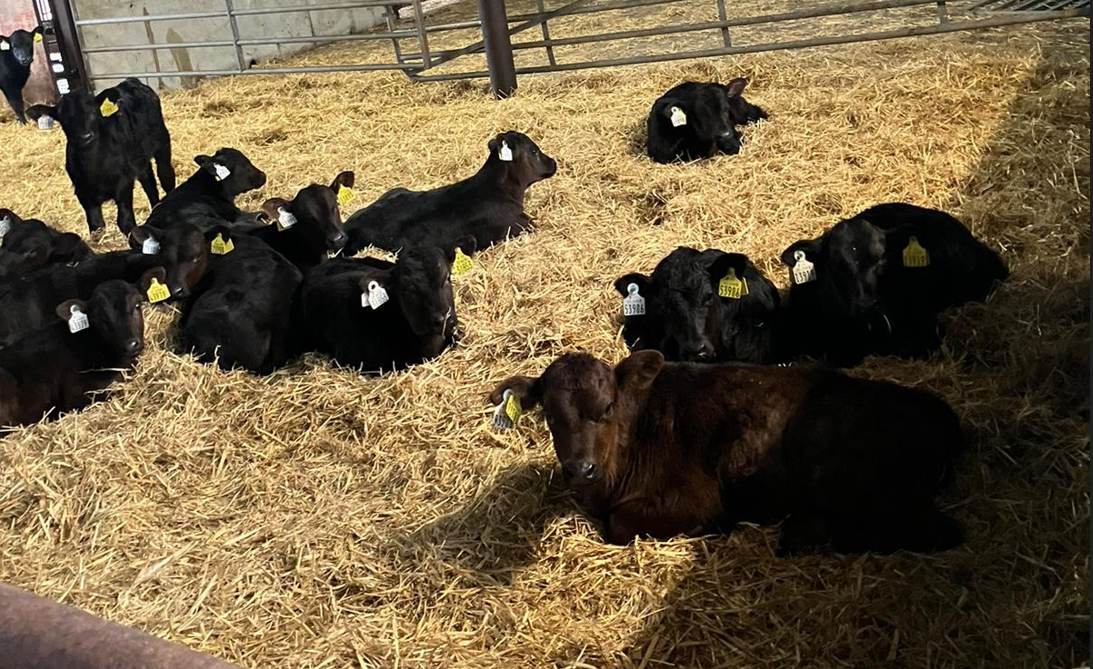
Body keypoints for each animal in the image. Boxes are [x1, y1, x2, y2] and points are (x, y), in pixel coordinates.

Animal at [27, 78, 175, 236]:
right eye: (63, 119)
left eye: (93, 112)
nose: (85, 136)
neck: (95, 167)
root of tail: (128, 81)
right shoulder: (83, 192)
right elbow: (96, 226)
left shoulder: (124, 183)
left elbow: (125, 222)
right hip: (140, 158)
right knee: (149, 182)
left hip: (162, 142)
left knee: (166, 176)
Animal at [490, 350, 965, 554]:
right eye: (550, 414)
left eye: (606, 406)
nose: (580, 468)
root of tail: (939, 409)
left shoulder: (692, 499)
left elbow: (620, 526)